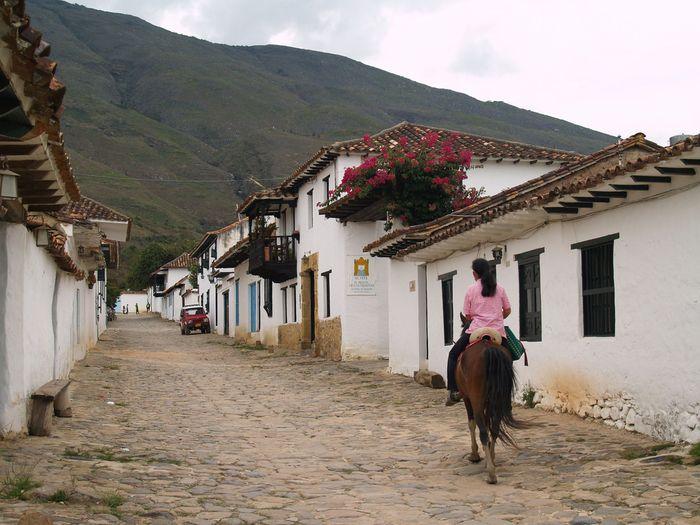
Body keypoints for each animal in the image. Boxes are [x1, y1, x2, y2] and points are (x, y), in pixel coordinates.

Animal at [454, 314, 524, 482]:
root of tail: (489, 348)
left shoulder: (467, 398)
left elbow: (471, 423)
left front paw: (474, 454)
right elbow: (488, 422)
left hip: (476, 399)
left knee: (483, 430)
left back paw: (491, 473)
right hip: (498, 399)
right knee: (495, 427)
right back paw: (491, 459)